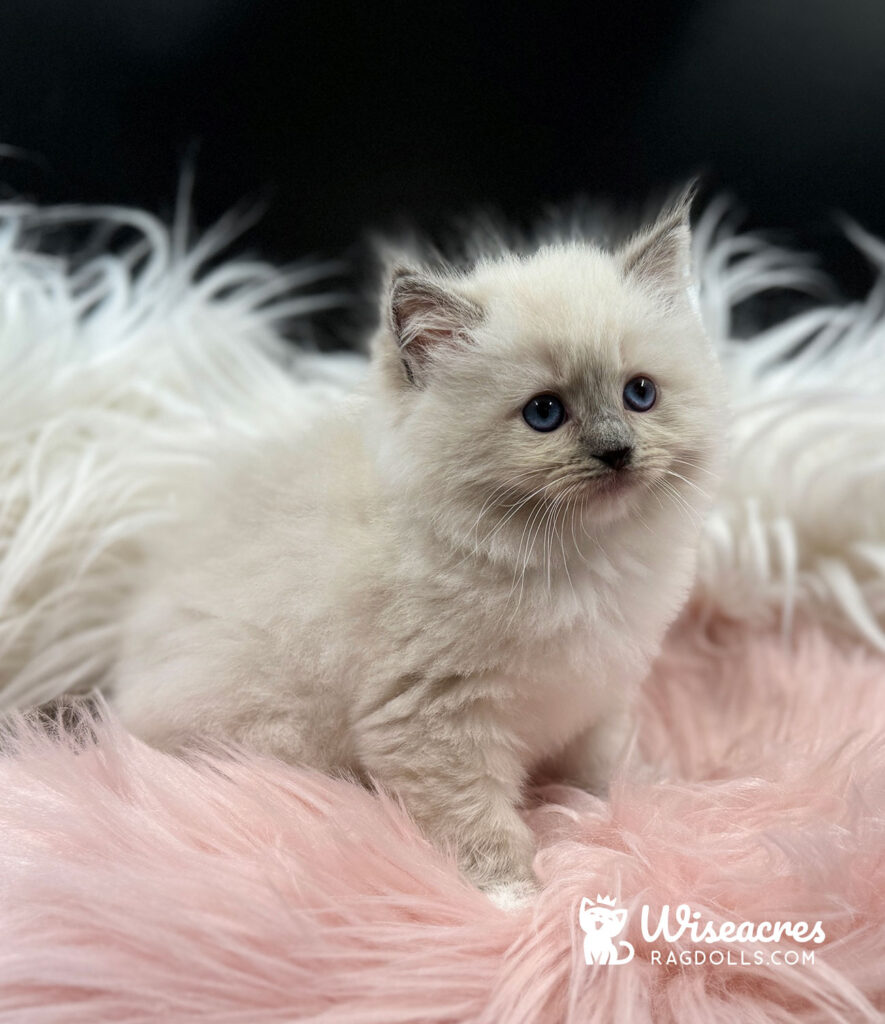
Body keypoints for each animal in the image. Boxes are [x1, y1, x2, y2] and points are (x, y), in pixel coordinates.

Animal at [110, 188, 721, 901]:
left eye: (639, 393)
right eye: (544, 413)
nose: (617, 452)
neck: (575, 563)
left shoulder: (598, 690)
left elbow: (599, 767)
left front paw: (626, 806)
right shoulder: (432, 718)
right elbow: (477, 819)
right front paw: (515, 896)